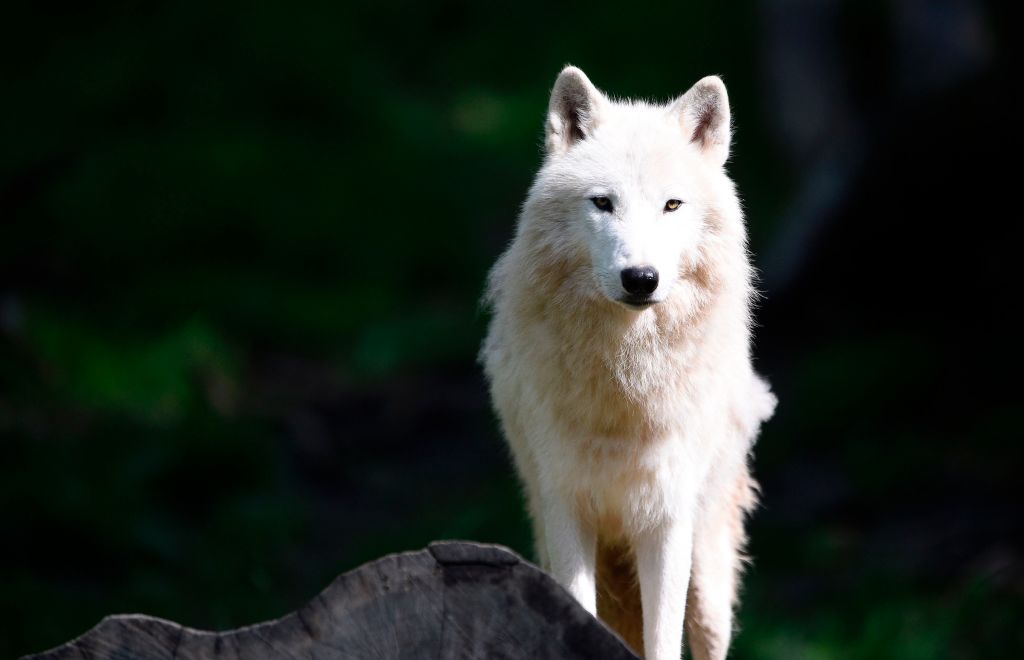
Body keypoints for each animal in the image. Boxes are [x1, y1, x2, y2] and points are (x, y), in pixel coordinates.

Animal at [479, 68, 774, 658]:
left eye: (672, 205)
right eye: (602, 203)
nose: (641, 278)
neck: (626, 381)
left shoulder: (665, 519)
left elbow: (663, 641)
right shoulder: (566, 508)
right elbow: (576, 612)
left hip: (707, 573)